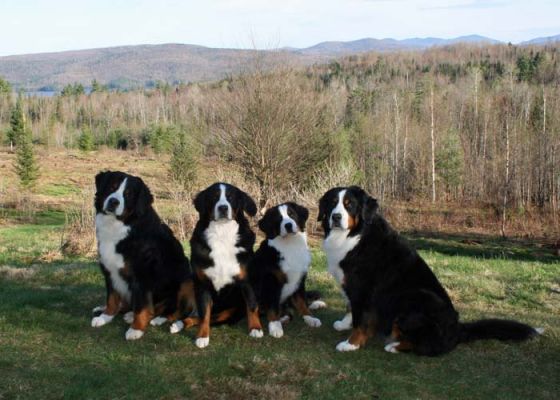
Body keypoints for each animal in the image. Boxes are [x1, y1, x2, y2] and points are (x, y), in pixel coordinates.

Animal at [92, 171, 195, 340]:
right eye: (112, 187)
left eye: (128, 194)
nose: (113, 201)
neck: (121, 226)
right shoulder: (109, 270)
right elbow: (112, 298)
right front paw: (105, 317)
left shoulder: (142, 275)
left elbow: (142, 305)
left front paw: (136, 329)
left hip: (187, 281)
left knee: (174, 310)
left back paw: (157, 319)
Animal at [170, 183, 264, 348]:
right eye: (214, 197)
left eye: (231, 197)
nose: (223, 208)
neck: (222, 234)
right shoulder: (203, 283)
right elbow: (204, 314)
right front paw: (202, 336)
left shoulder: (247, 280)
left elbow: (252, 305)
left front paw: (255, 328)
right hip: (189, 282)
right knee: (184, 312)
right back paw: (170, 322)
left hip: (228, 312)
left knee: (196, 317)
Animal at [249, 203, 324, 338]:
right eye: (278, 219)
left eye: (292, 214)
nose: (288, 225)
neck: (290, 246)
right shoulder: (271, 281)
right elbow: (272, 307)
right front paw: (275, 326)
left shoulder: (300, 279)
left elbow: (301, 302)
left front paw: (309, 317)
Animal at [320, 185, 544, 356]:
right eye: (332, 203)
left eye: (350, 205)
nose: (336, 217)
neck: (354, 236)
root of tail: (457, 327)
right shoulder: (351, 285)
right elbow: (350, 308)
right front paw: (344, 324)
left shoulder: (364, 289)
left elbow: (361, 319)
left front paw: (351, 343)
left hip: (416, 296)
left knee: (431, 346)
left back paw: (395, 345)